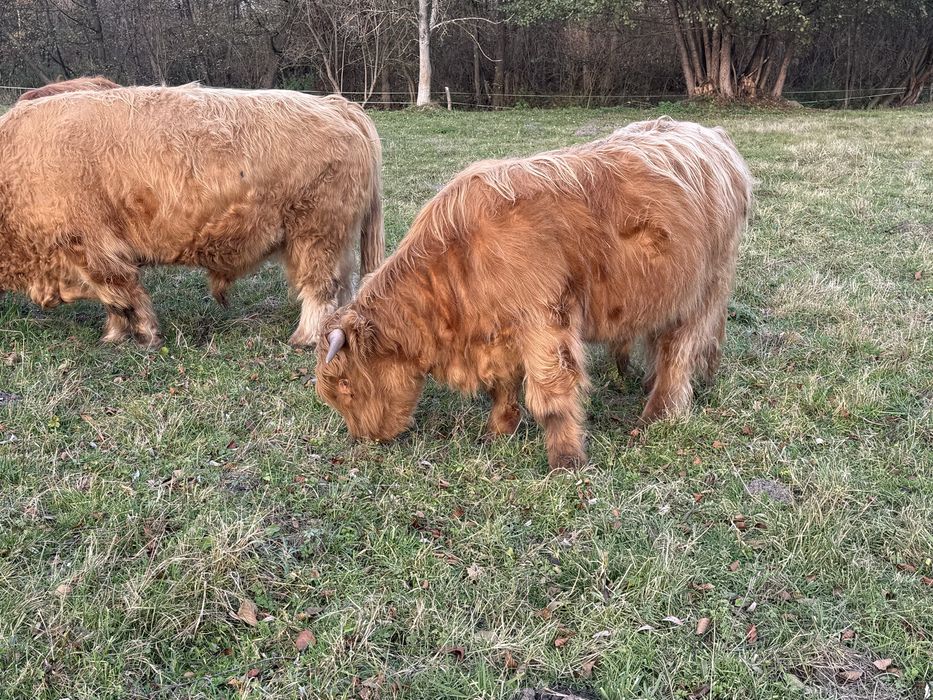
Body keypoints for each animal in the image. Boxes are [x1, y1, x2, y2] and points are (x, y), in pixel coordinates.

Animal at [0, 85, 383, 348]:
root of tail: (334, 104)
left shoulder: (93, 247)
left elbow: (122, 294)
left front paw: (142, 335)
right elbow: (114, 299)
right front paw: (116, 335)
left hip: (317, 233)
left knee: (321, 286)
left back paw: (305, 338)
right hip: (331, 238)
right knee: (344, 284)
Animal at [315, 118, 753, 470]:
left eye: (347, 386)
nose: (364, 439)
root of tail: (712, 136)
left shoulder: (545, 321)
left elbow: (550, 393)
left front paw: (566, 461)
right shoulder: (499, 332)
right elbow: (503, 386)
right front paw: (497, 431)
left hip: (702, 290)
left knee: (679, 350)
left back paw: (656, 415)